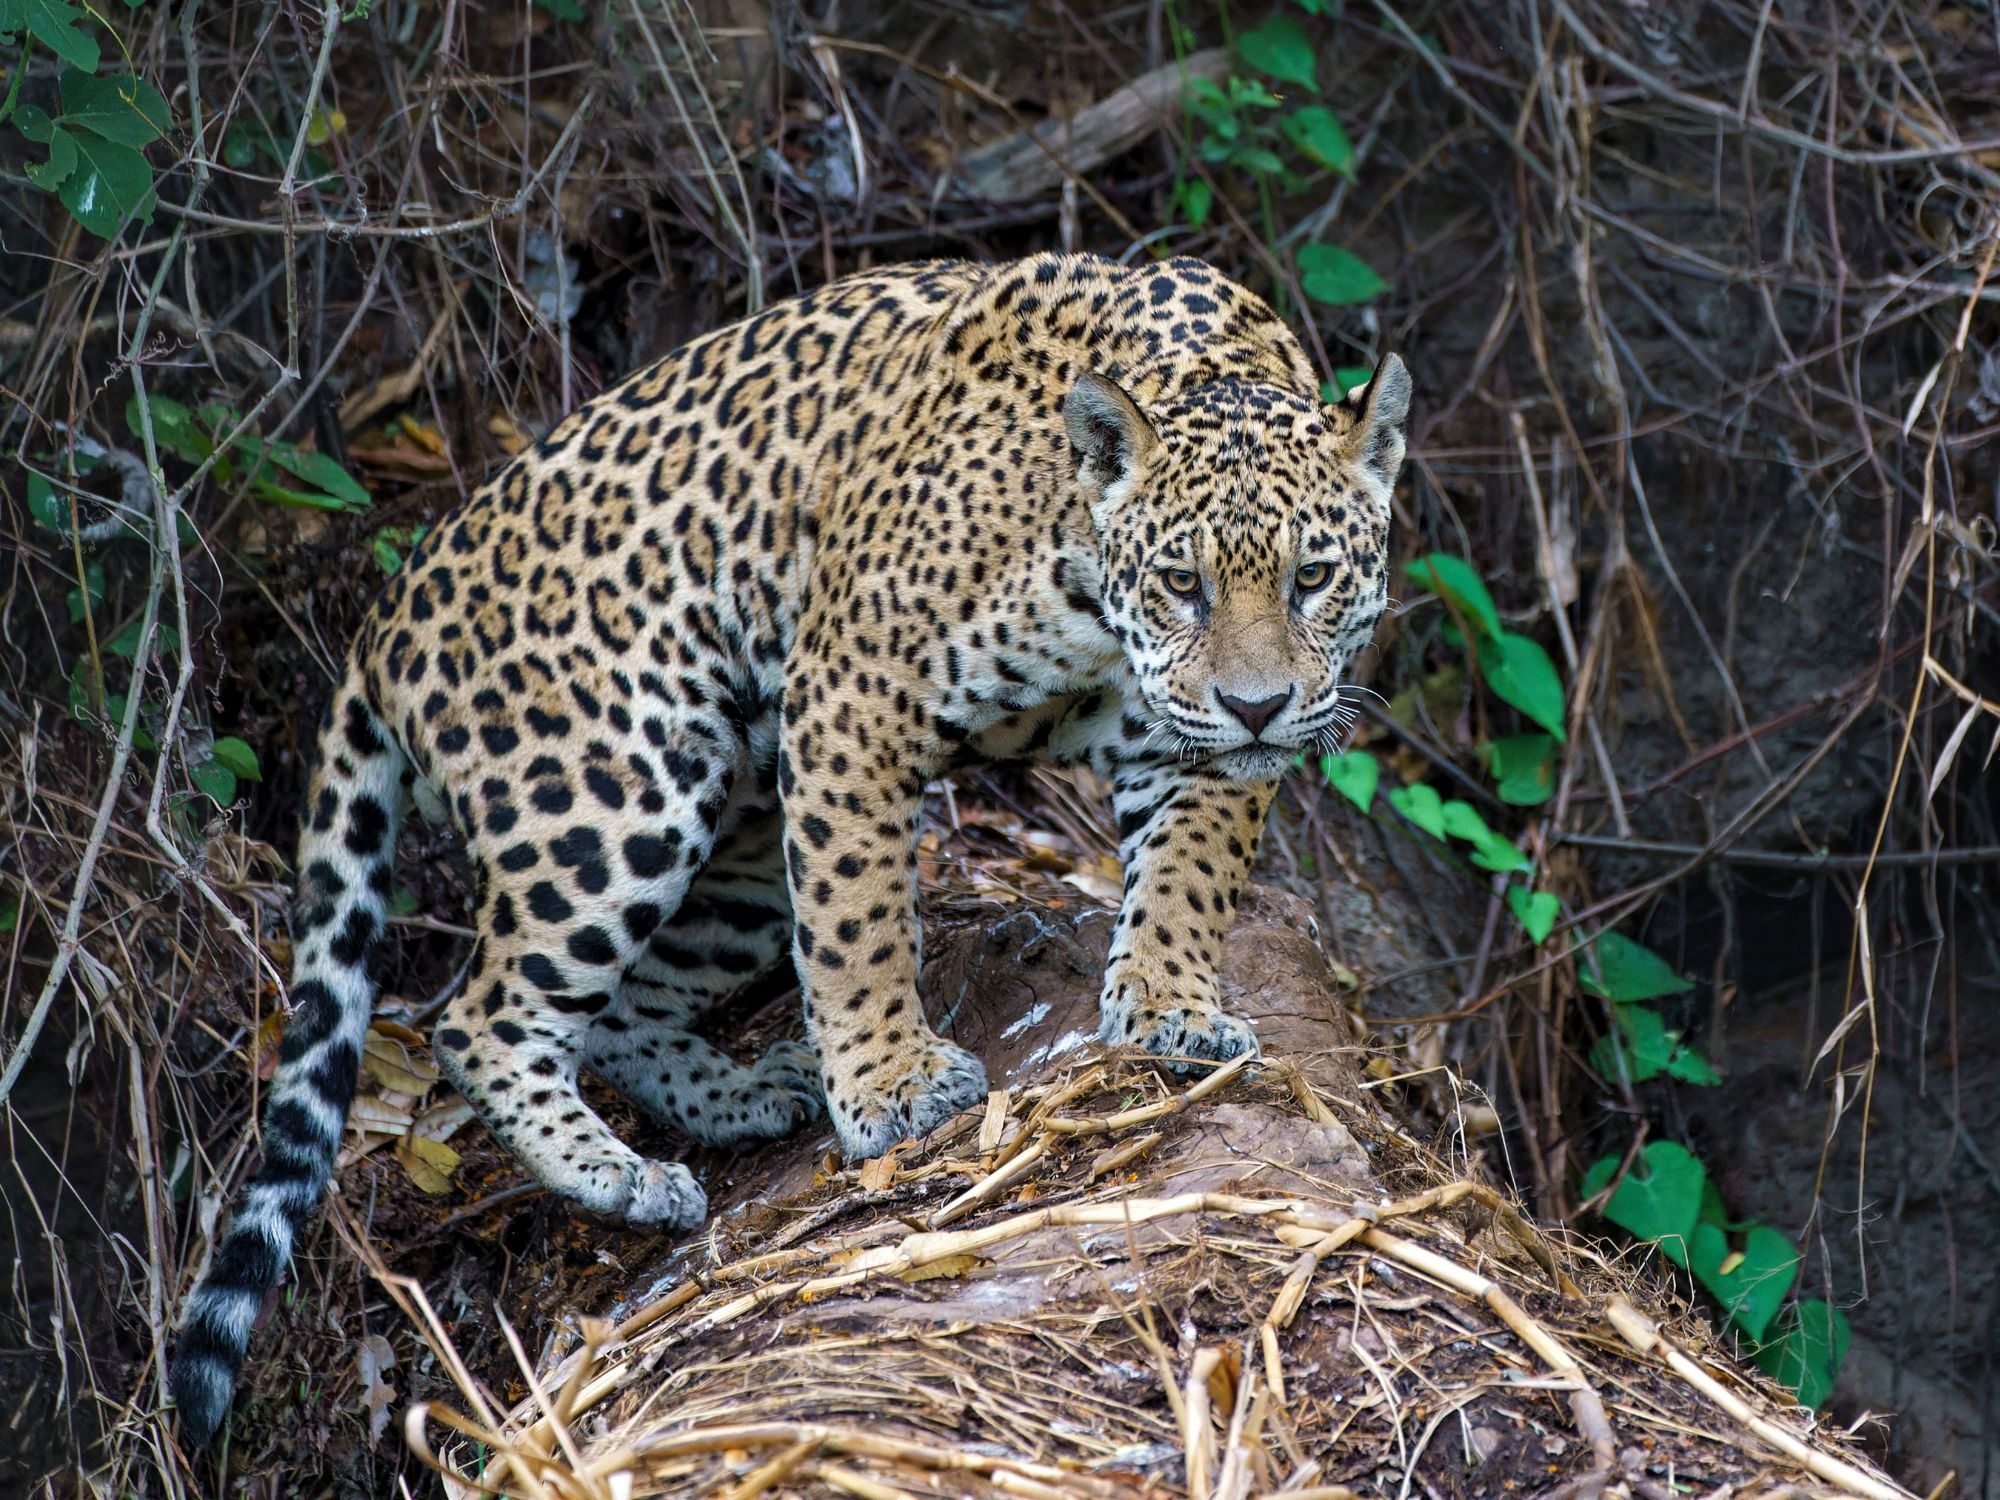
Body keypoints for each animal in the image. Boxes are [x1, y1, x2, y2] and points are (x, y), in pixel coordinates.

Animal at [169, 252, 1409, 1446]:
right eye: (1179, 582)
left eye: (1309, 577)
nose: (1257, 706)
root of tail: (385, 622)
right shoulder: (855, 690)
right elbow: (859, 920)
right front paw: (896, 1090)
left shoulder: (1186, 746)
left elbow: (1188, 879)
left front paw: (1169, 1008)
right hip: (617, 792)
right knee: (475, 1013)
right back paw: (623, 1177)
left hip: (749, 850)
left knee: (621, 1005)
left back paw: (743, 1097)